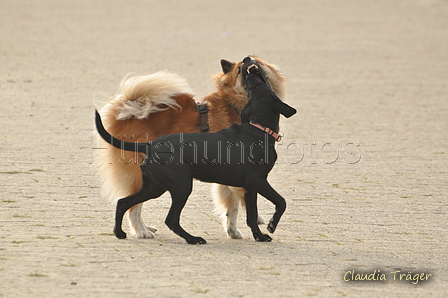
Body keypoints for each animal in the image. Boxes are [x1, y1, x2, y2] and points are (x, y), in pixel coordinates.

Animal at [96, 58, 296, 244]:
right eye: (240, 70)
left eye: (256, 61)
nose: (248, 61)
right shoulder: (255, 180)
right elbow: (275, 202)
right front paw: (265, 226)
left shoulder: (247, 184)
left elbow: (242, 210)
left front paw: (246, 232)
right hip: (179, 186)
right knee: (156, 214)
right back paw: (153, 233)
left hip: (155, 186)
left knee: (124, 202)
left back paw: (122, 232)